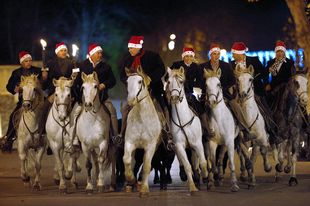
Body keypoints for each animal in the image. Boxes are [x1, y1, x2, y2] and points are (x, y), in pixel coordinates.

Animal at [123, 67, 162, 197]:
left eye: (140, 81)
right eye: (127, 82)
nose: (131, 101)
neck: (141, 120)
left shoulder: (150, 146)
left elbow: (146, 165)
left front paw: (144, 188)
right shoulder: (129, 142)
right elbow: (127, 159)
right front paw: (130, 180)